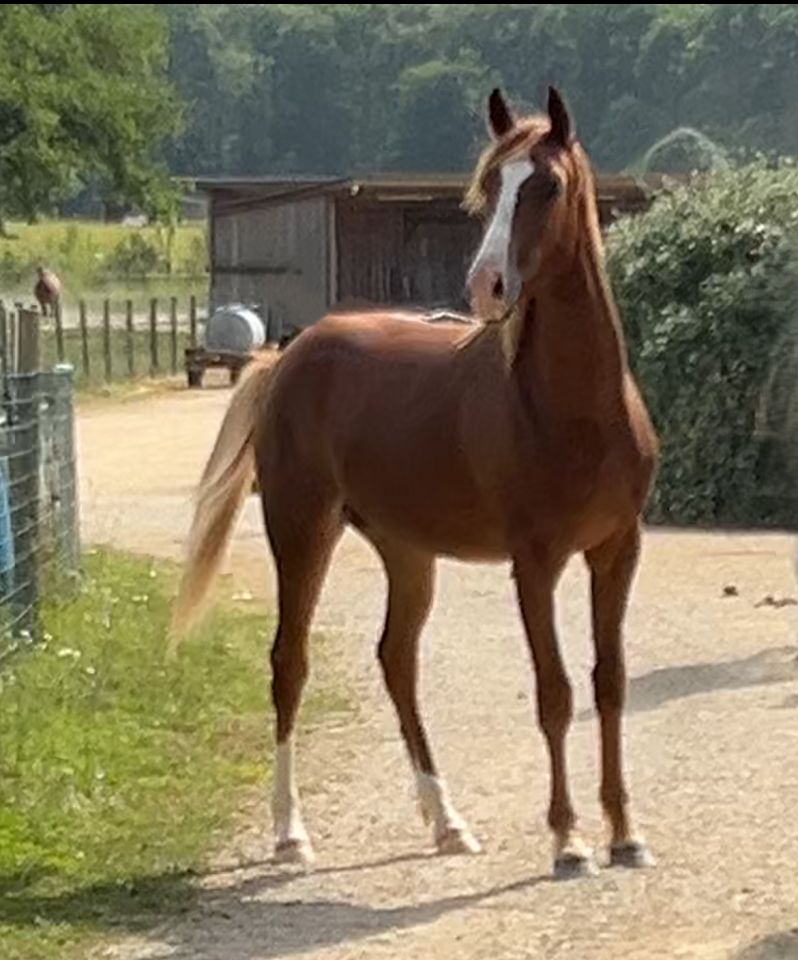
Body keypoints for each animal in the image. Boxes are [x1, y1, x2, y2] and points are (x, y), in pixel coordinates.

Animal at [171, 86, 660, 881]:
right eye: (490, 186)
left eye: (547, 186)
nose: (487, 285)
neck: (574, 406)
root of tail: (291, 355)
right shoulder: (536, 561)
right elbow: (555, 693)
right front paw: (568, 841)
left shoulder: (617, 550)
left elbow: (608, 684)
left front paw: (625, 832)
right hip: (302, 531)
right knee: (289, 663)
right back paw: (291, 834)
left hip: (407, 552)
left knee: (396, 662)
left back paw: (447, 822)